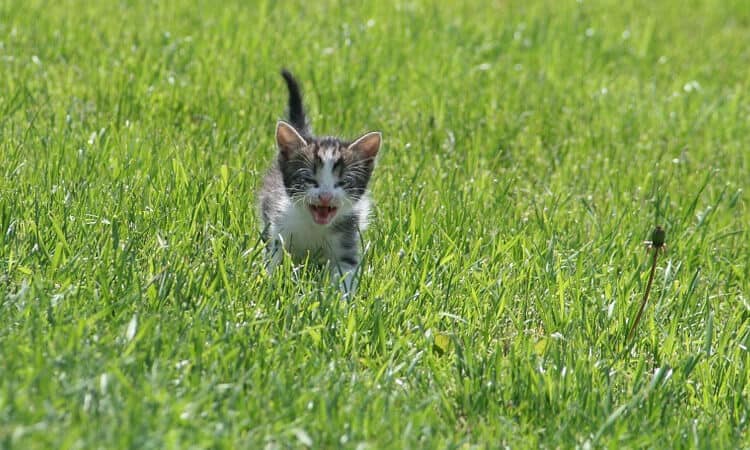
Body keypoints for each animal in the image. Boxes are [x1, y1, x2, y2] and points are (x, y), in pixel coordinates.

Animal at [262, 69, 384, 296]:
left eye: (343, 183)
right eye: (309, 180)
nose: (325, 196)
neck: (314, 226)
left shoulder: (347, 241)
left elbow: (345, 273)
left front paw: (340, 300)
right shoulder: (279, 230)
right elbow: (274, 259)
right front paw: (270, 285)